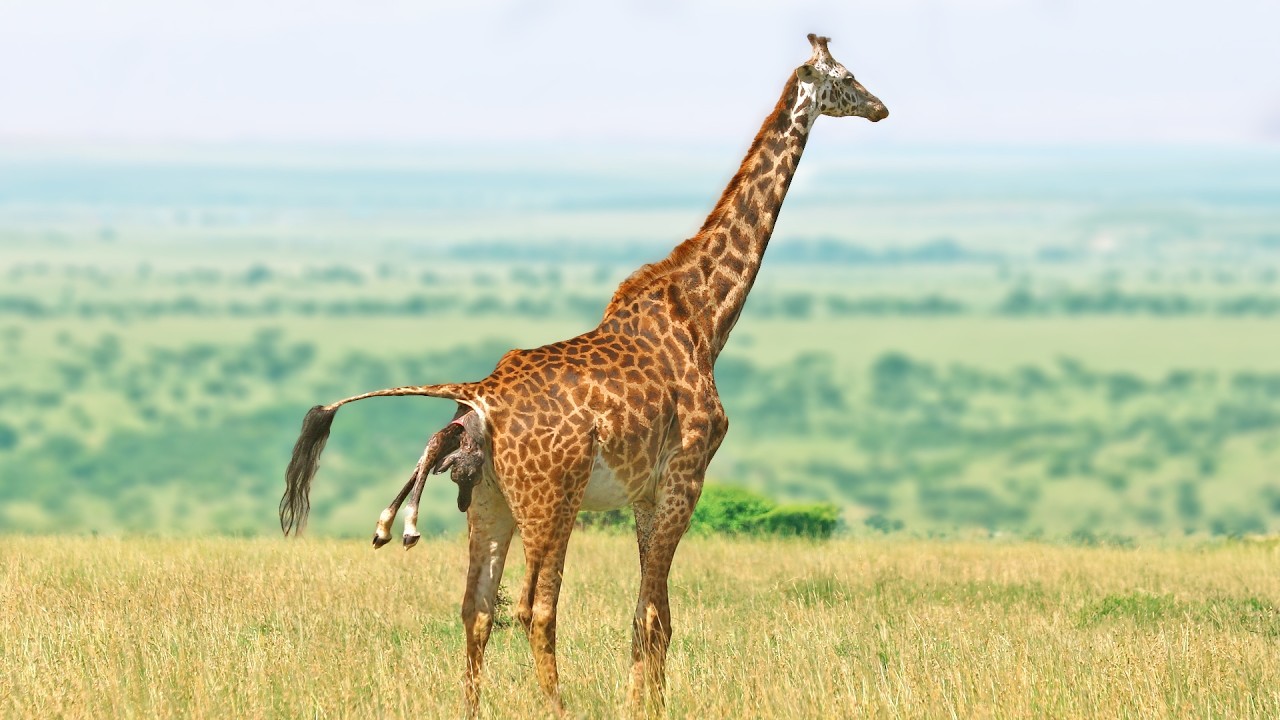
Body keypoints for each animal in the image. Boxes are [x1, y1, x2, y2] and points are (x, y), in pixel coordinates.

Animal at [280, 33, 887, 715]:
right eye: (848, 77)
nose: (880, 107)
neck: (704, 319)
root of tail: (477, 397)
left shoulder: (645, 492)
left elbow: (651, 617)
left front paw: (644, 699)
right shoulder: (684, 478)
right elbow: (654, 615)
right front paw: (645, 705)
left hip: (490, 499)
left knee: (476, 608)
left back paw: (473, 705)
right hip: (552, 499)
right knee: (533, 608)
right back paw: (558, 704)